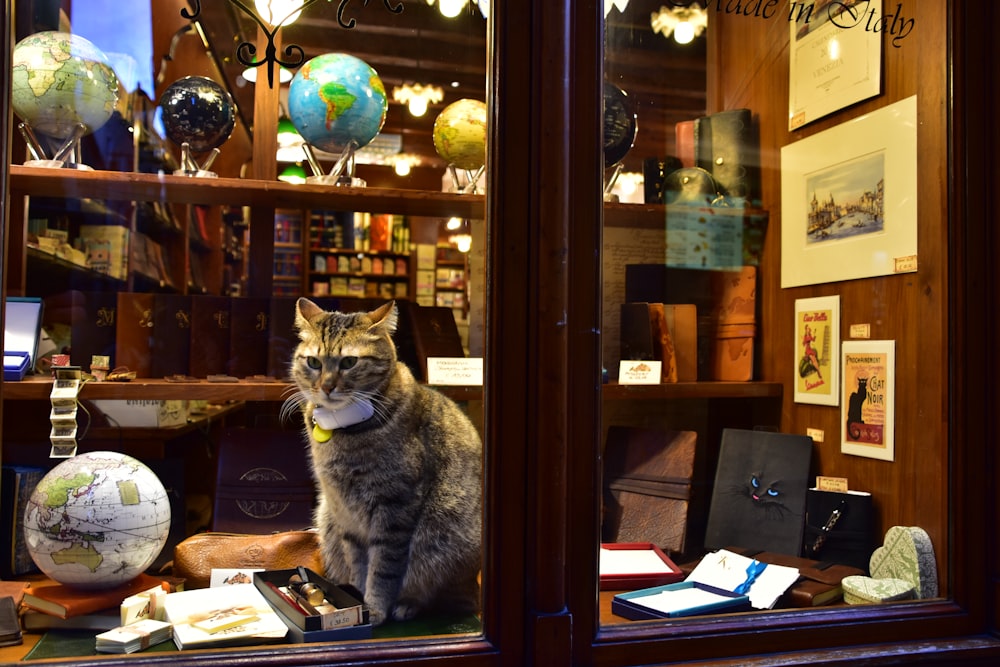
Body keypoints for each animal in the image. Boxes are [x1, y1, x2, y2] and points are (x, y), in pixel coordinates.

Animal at [282, 298, 484, 628]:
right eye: (313, 362)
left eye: (349, 362)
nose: (326, 386)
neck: (341, 428)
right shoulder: (343, 512)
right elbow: (358, 564)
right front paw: (355, 597)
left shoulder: (394, 508)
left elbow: (382, 570)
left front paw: (374, 608)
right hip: (326, 519)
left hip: (441, 539)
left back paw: (407, 605)